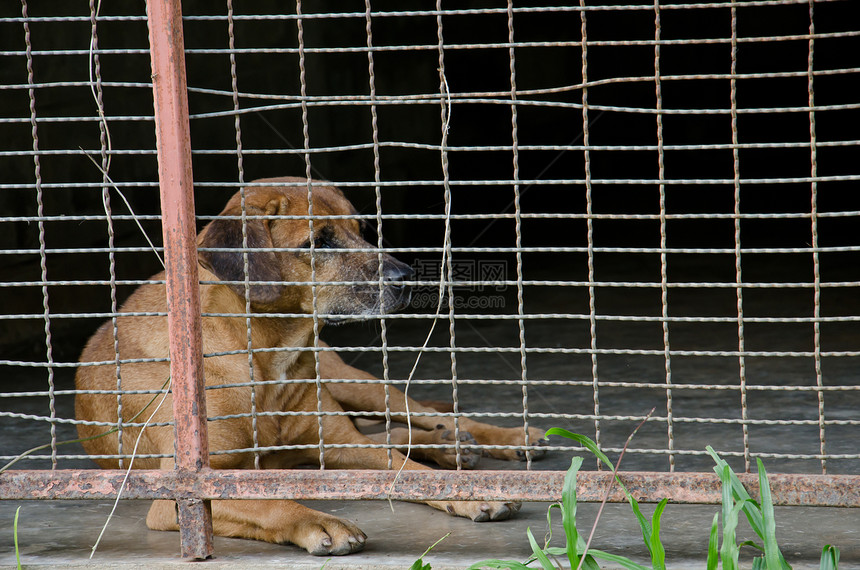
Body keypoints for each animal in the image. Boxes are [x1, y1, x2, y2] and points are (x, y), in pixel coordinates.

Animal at [74, 175, 544, 552]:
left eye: (361, 230)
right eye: (320, 242)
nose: (408, 277)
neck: (271, 357)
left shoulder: (338, 440)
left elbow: (407, 470)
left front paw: (470, 491)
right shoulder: (186, 487)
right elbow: (267, 500)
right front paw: (318, 520)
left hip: (354, 383)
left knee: (417, 416)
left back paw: (499, 437)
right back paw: (450, 445)